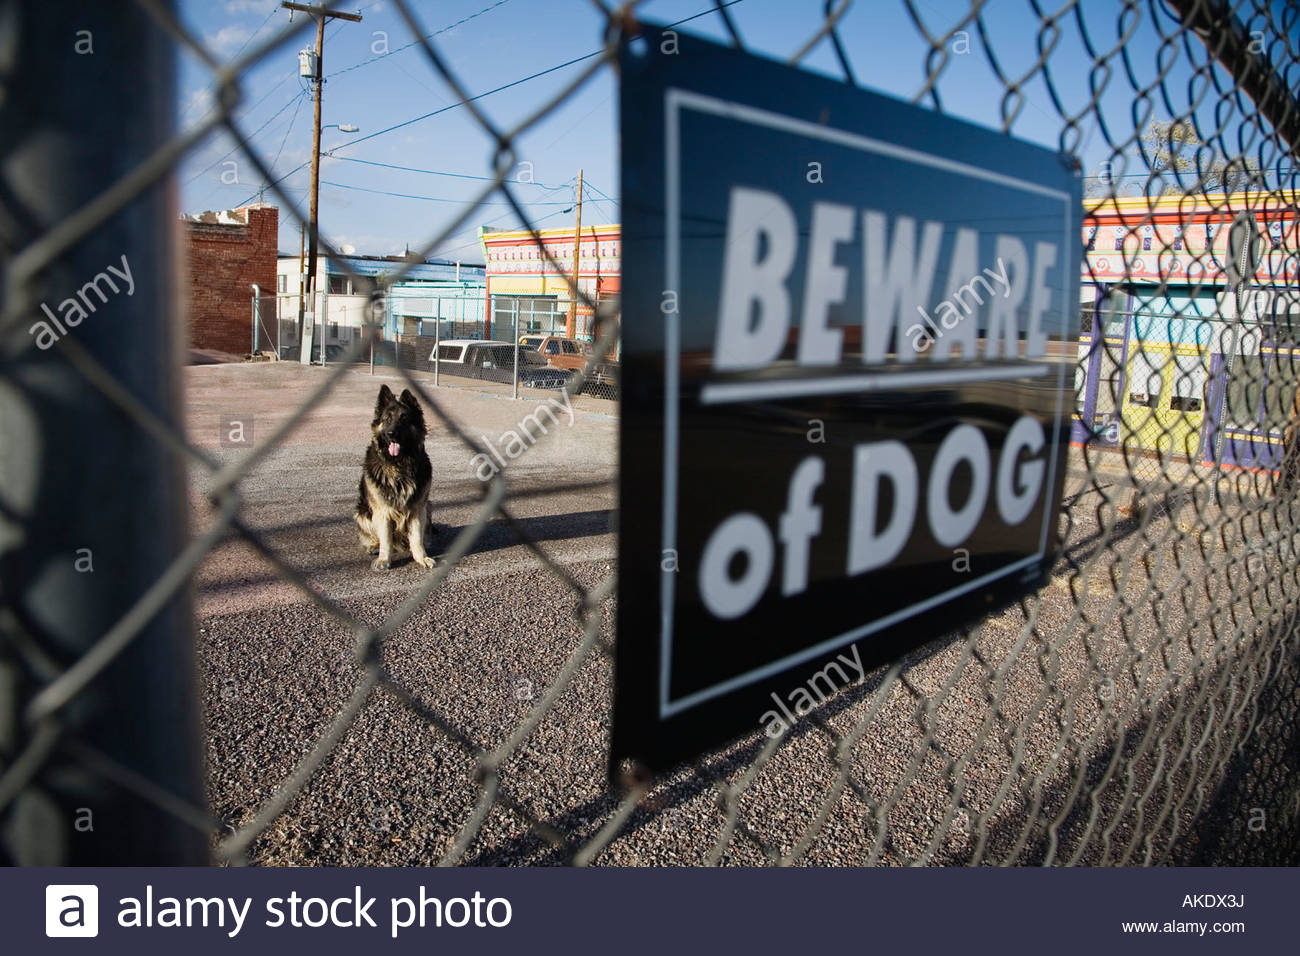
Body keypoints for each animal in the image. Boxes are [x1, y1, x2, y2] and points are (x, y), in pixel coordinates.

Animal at [356, 385, 436, 572]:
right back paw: (373, 546)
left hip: (428, 507)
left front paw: (421, 558)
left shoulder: (417, 508)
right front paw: (384, 560)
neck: (399, 464)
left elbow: (416, 538)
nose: (391, 433)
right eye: (387, 419)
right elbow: (386, 539)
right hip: (362, 512)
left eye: (404, 418)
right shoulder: (382, 511)